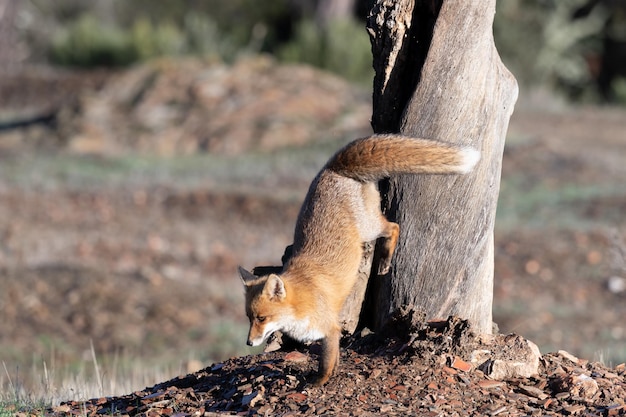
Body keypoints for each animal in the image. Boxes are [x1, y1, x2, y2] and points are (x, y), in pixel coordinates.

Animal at [238, 133, 478, 384]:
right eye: (249, 317)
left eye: (262, 318)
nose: (249, 342)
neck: (303, 299)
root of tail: (331, 167)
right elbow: (333, 359)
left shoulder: (330, 329)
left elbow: (325, 364)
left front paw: (318, 384)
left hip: (369, 228)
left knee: (394, 226)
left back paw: (385, 260)